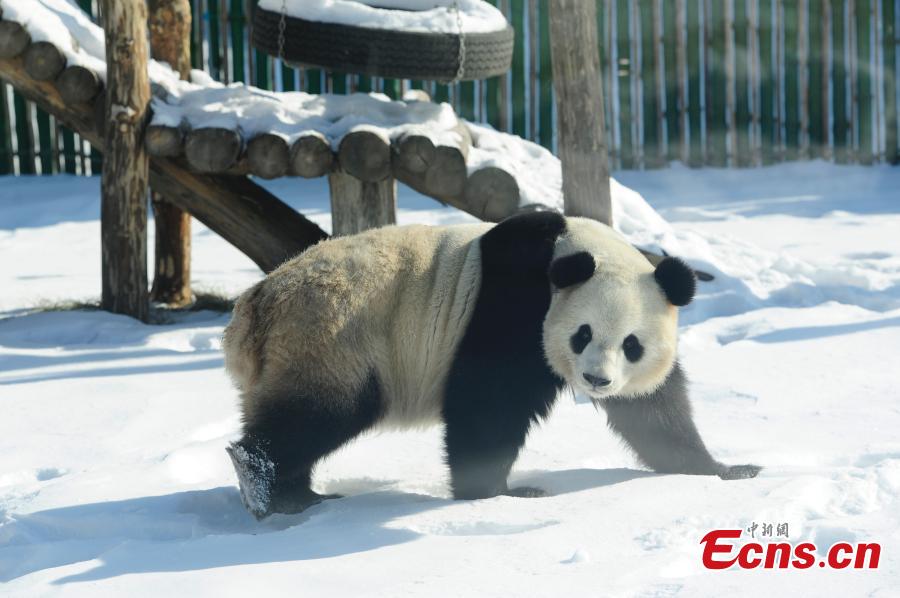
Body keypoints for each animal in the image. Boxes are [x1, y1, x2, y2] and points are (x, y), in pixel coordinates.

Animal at [223, 211, 760, 519]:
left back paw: (300, 496)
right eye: (582, 334)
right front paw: (502, 494)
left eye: (632, 345)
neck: (574, 251)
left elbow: (653, 409)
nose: (597, 380)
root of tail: (255, 306)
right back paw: (263, 483)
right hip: (334, 335)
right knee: (319, 413)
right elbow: (488, 401)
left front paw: (724, 471)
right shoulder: (514, 303)